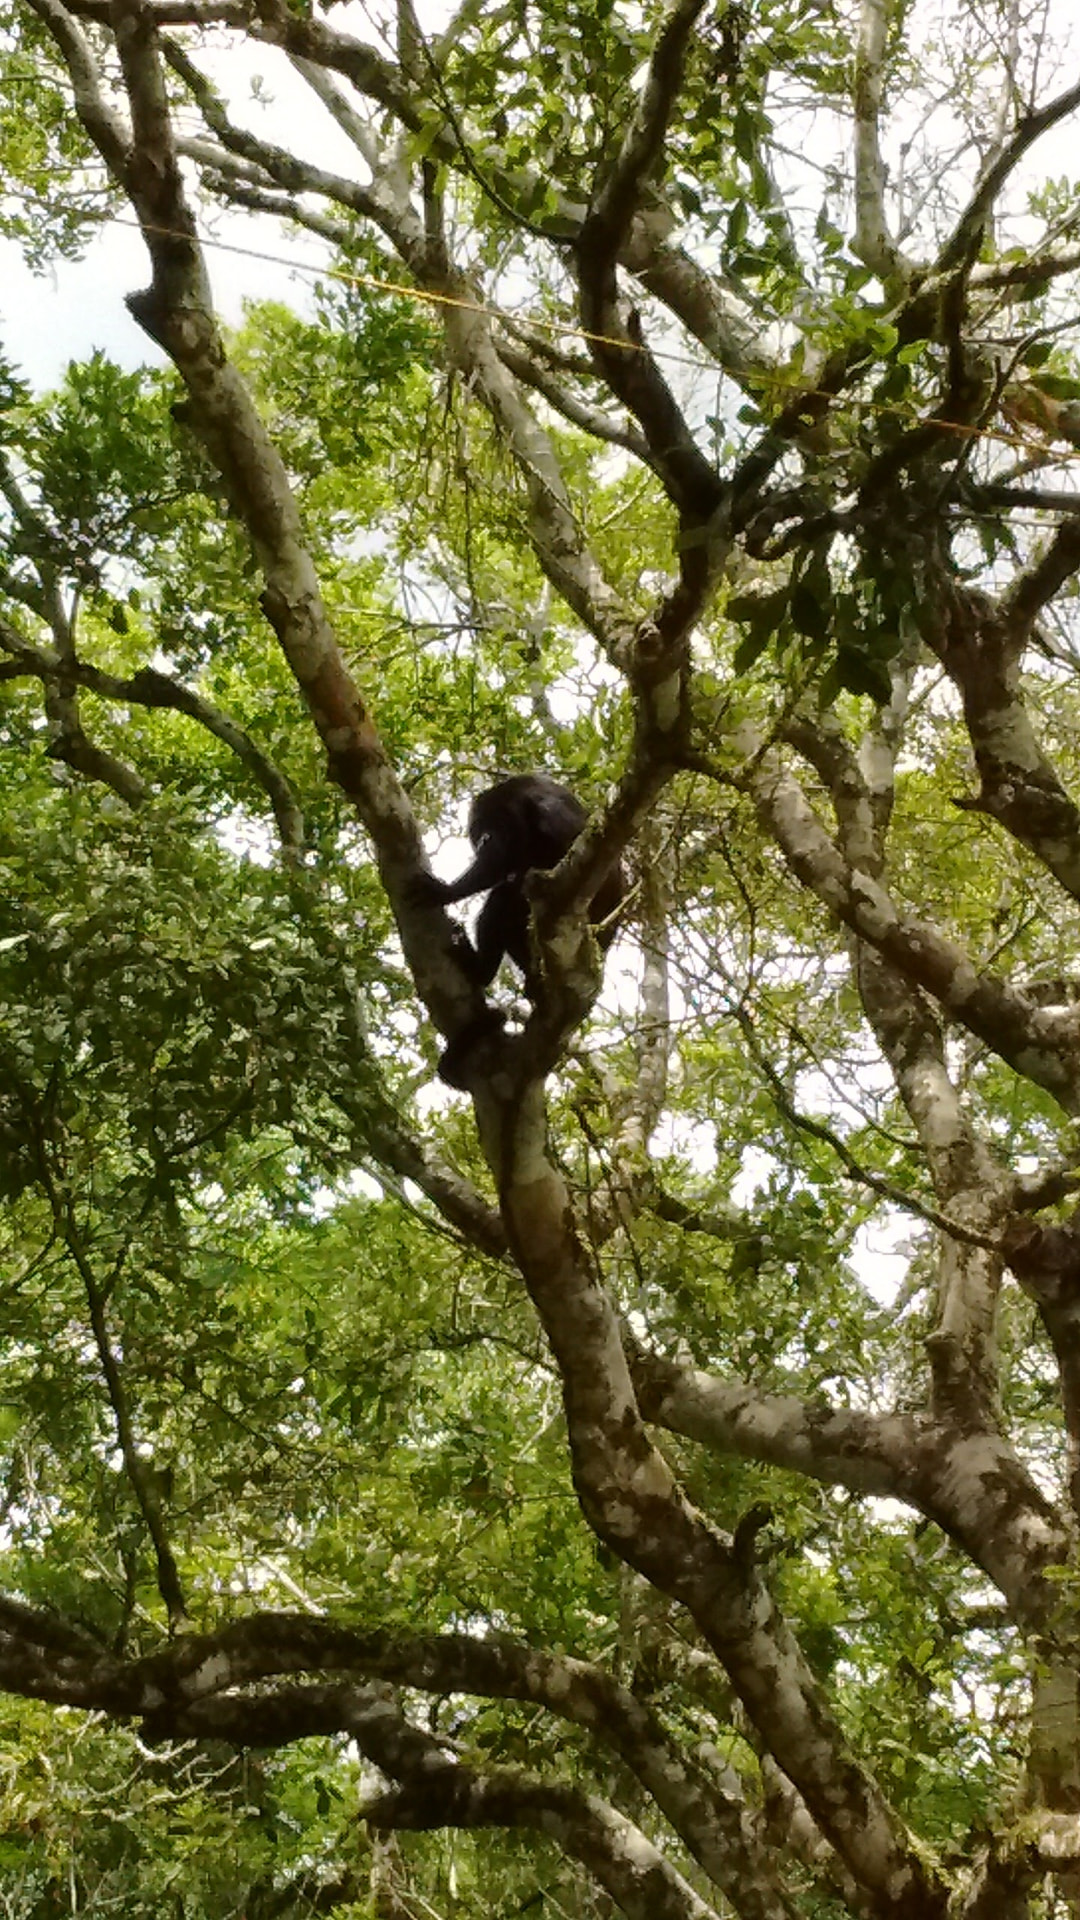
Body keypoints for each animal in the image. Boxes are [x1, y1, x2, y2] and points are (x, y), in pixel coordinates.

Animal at [413, 774, 626, 1083]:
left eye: (482, 827)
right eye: (475, 832)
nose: (481, 839)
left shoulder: (528, 810)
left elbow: (508, 856)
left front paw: (445, 891)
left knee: (501, 902)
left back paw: (482, 970)